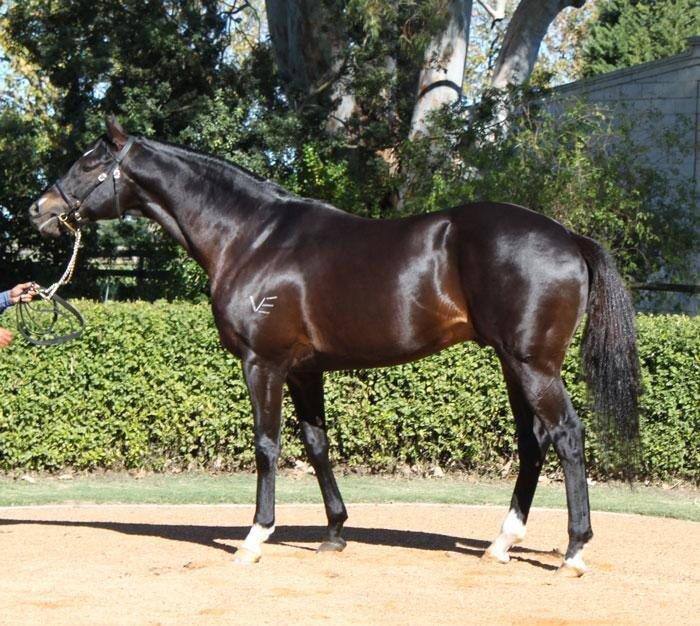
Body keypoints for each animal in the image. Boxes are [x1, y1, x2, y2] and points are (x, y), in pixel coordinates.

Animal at [28, 117, 640, 576]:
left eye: (88, 162)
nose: (39, 210)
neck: (251, 236)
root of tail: (567, 236)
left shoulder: (264, 364)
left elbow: (268, 445)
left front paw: (255, 536)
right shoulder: (305, 370)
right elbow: (317, 444)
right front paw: (335, 532)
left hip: (533, 365)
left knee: (567, 436)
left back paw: (574, 549)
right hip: (513, 364)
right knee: (533, 443)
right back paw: (501, 544)